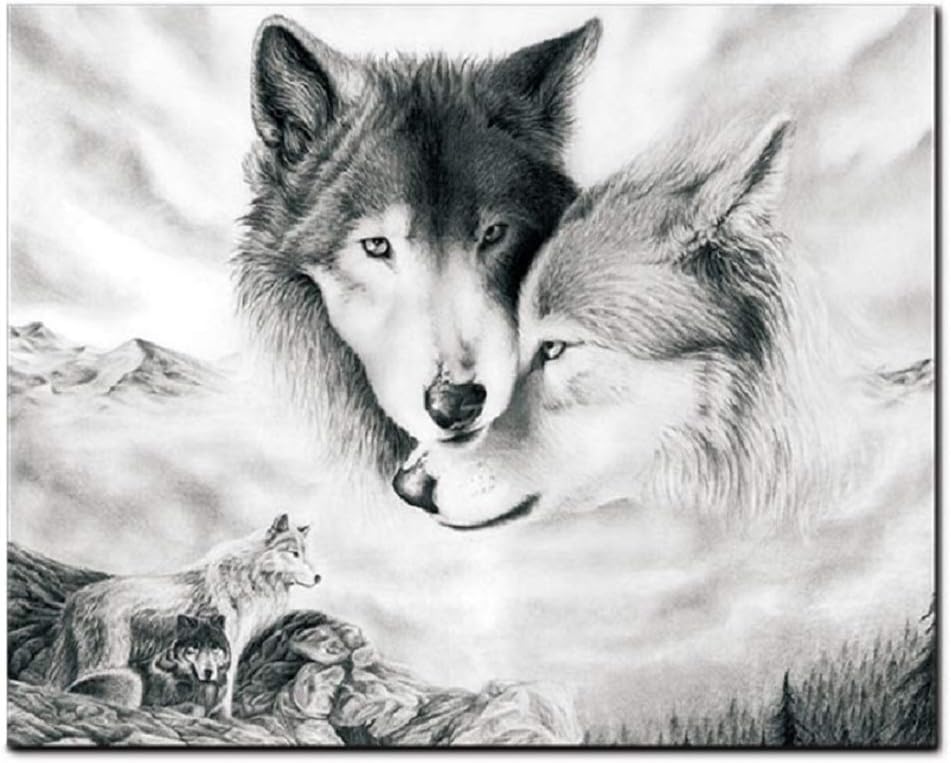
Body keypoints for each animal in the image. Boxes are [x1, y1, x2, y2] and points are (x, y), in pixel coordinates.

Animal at [48, 514, 319, 715]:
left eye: (306, 554)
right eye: (294, 554)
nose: (318, 577)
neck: (250, 576)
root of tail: (77, 597)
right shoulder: (229, 645)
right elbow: (226, 690)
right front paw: (224, 719)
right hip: (109, 659)